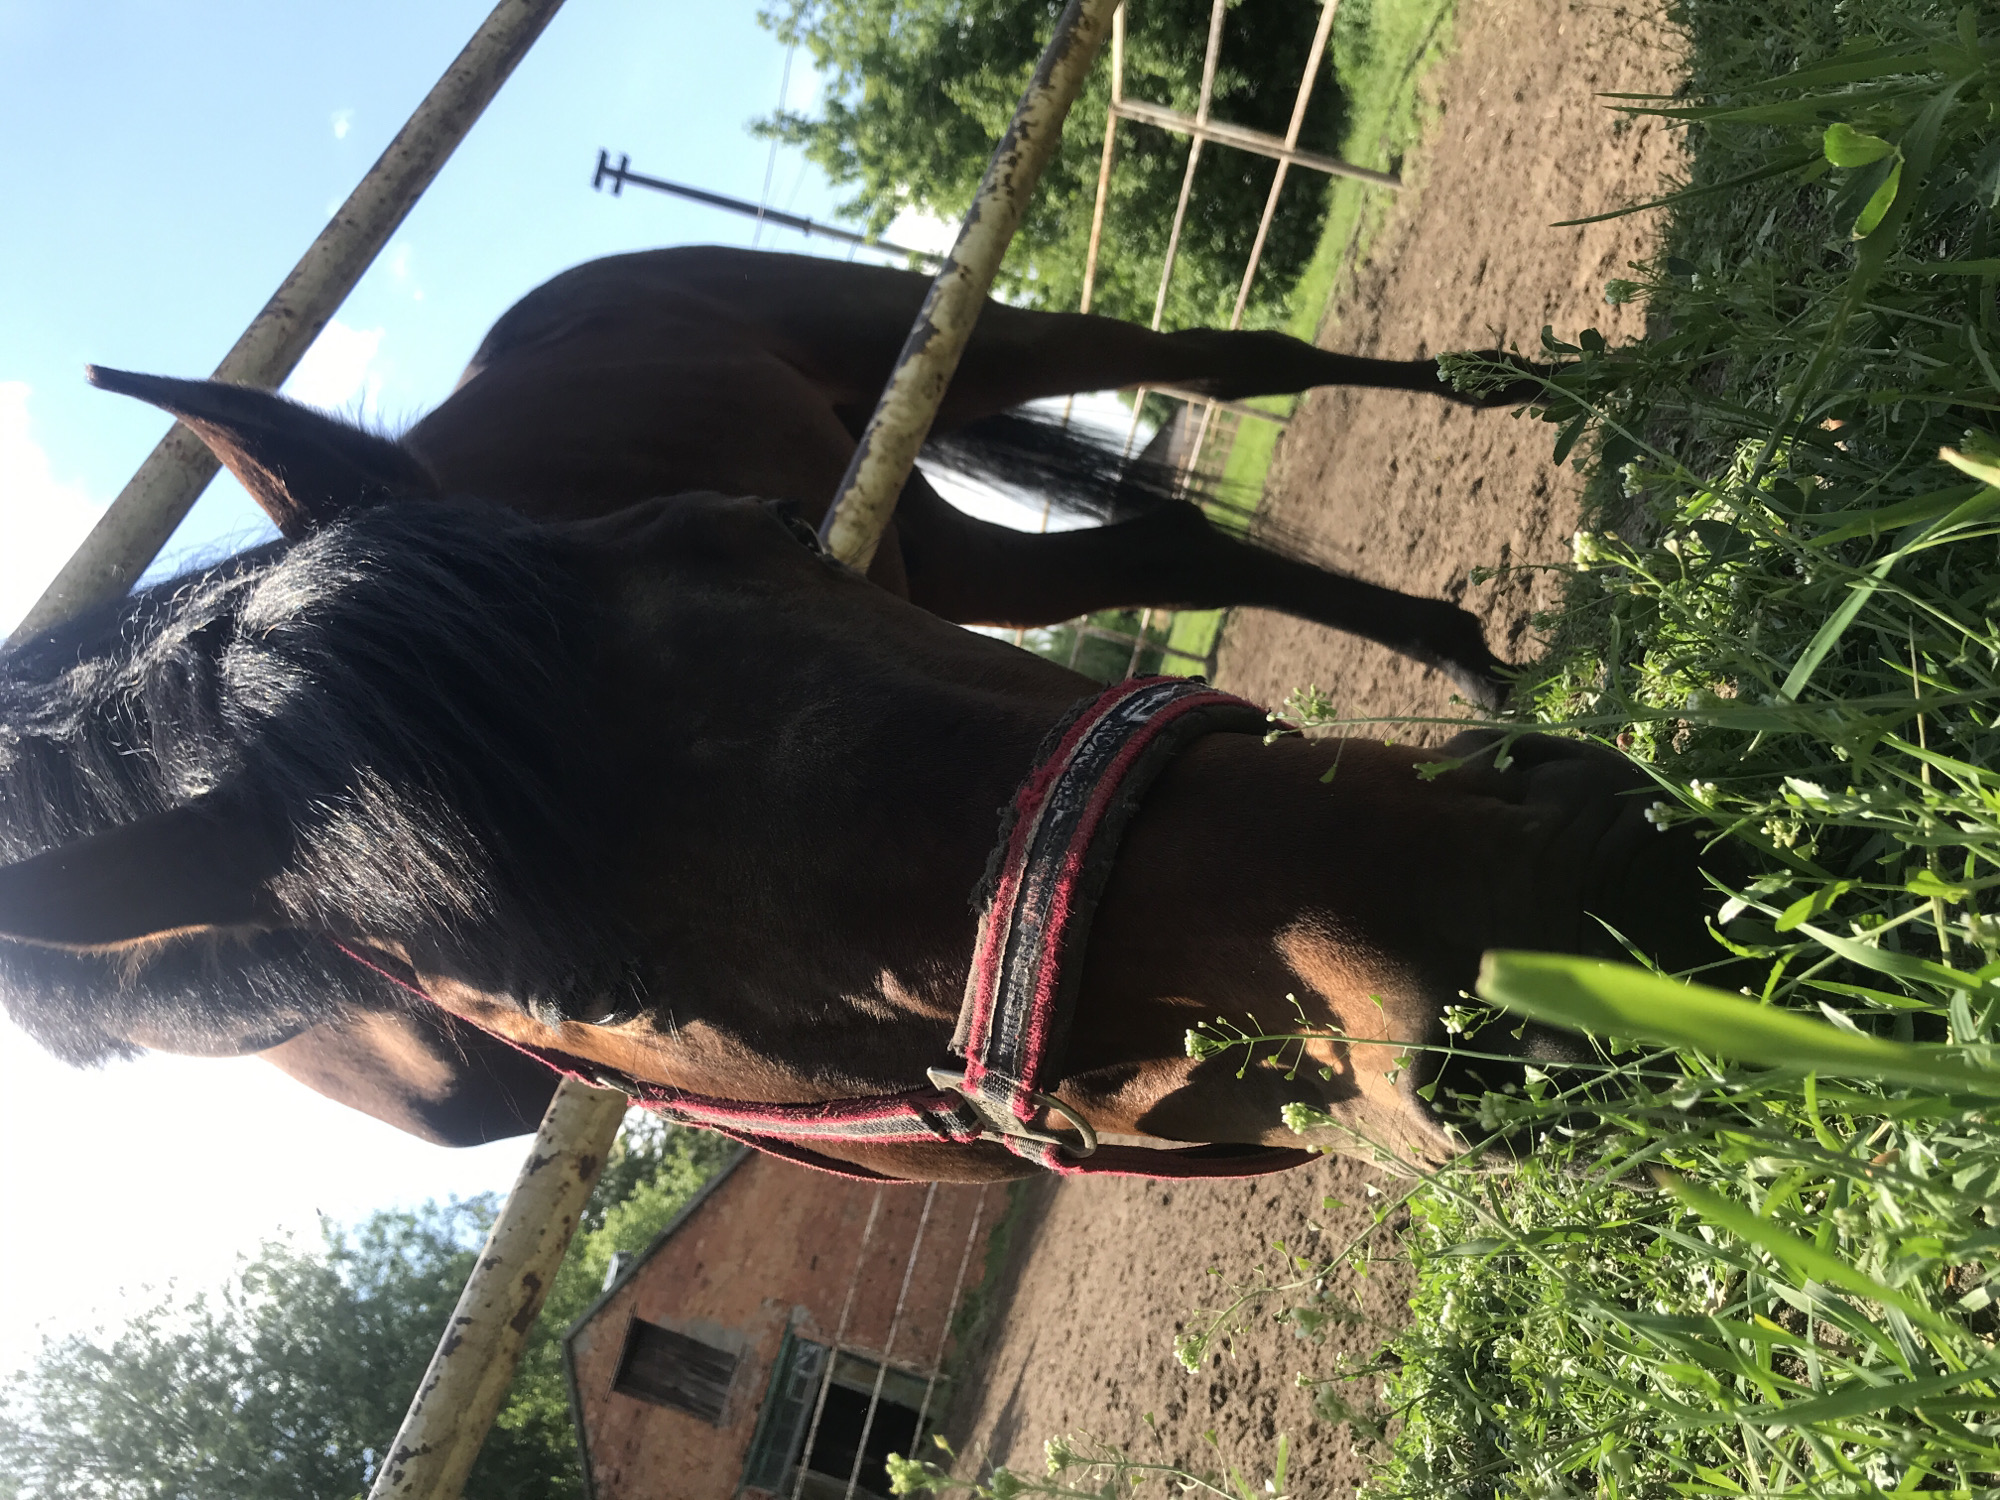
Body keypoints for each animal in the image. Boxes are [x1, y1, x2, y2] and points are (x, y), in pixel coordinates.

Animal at [0, 247, 1719, 1179]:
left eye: (759, 528)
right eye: (592, 992)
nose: (1556, 891)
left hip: (937, 339)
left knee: (1233, 359)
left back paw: (1539, 400)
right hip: (948, 547)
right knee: (1171, 548)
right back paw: (1472, 651)